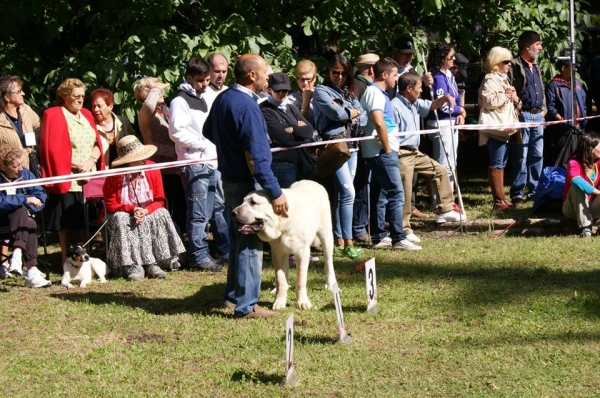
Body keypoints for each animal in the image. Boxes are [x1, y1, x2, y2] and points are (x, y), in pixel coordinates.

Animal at [233, 180, 338, 310]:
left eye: (253, 202)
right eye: (243, 201)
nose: (233, 213)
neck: (283, 224)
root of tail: (312, 181)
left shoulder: (303, 253)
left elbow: (300, 279)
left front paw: (302, 302)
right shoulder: (277, 253)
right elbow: (280, 279)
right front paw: (279, 301)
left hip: (326, 236)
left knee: (328, 263)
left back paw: (331, 284)